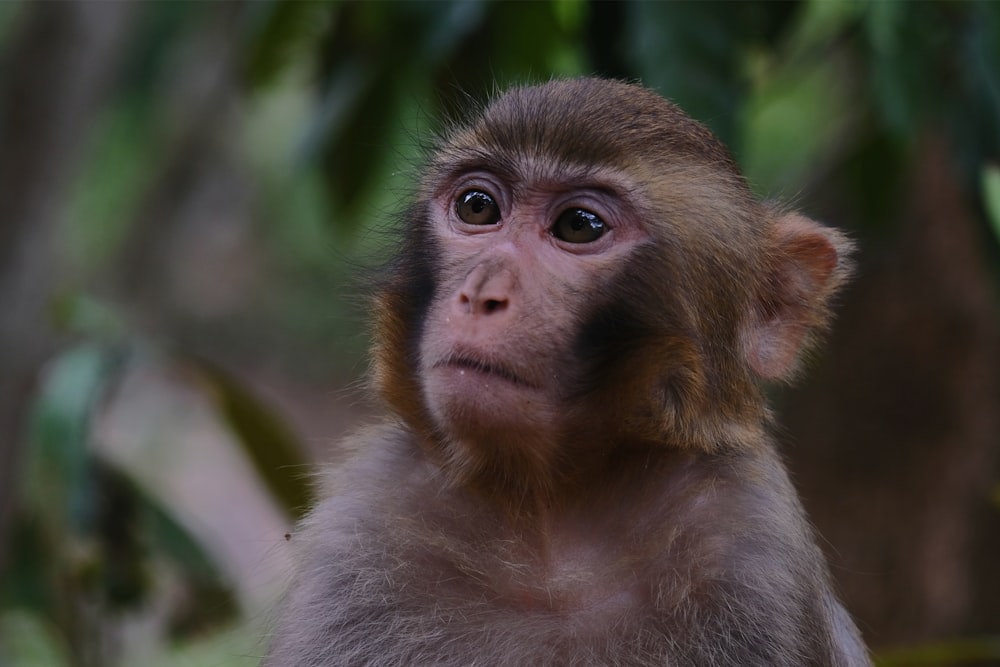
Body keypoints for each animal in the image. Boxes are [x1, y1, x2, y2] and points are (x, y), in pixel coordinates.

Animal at [264, 79, 868, 667]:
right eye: (478, 207)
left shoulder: (752, 557)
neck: (549, 518)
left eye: (580, 225)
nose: (481, 294)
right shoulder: (363, 530)